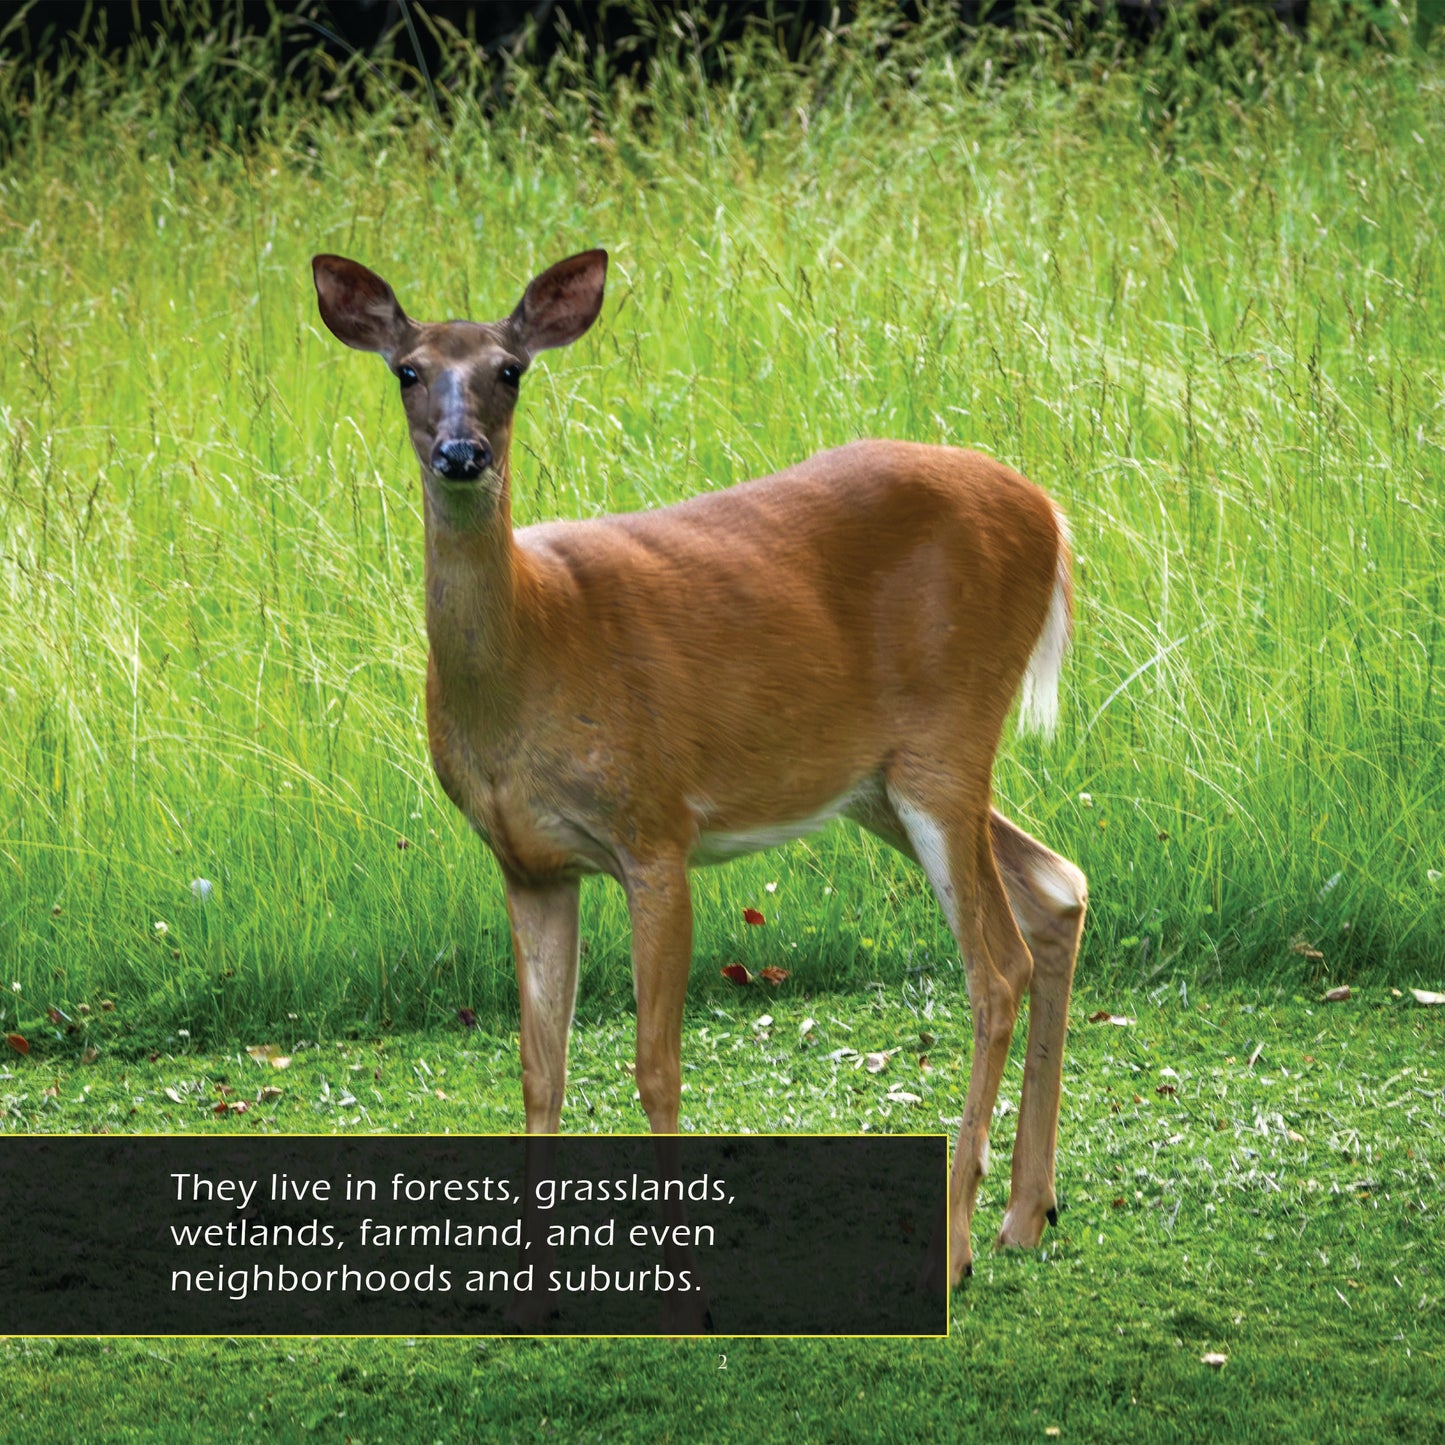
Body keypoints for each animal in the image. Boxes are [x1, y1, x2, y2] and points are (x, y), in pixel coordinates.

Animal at [312, 248, 1088, 1315]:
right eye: (408, 371)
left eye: (511, 369)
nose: (461, 455)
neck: (531, 656)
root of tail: (1048, 514)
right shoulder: (529, 863)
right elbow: (538, 1070)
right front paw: (528, 1292)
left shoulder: (654, 827)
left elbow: (654, 1064)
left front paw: (676, 1280)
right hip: (878, 782)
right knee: (1058, 884)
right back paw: (1025, 1213)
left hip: (947, 738)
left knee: (995, 965)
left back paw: (961, 1242)